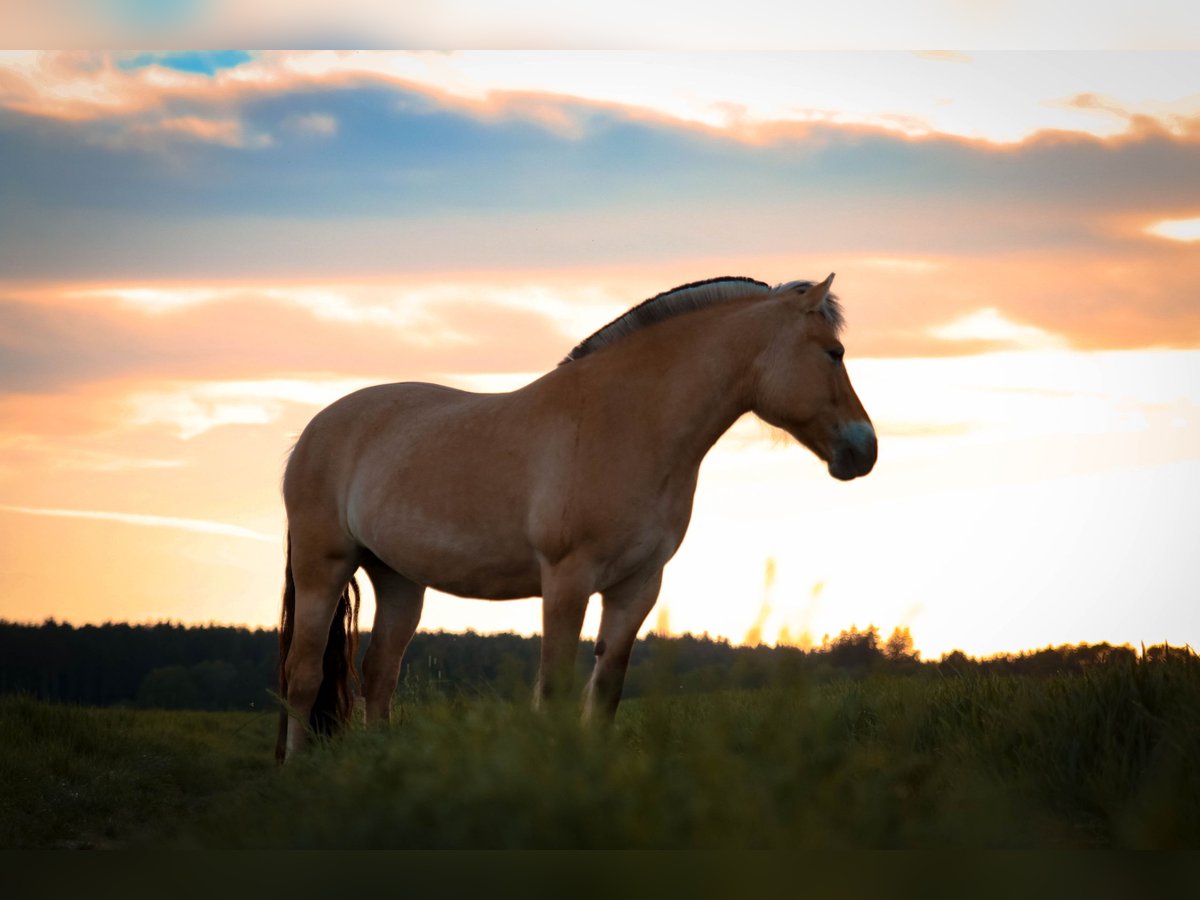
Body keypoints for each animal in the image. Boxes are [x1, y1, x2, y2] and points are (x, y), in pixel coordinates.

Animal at [276, 273, 878, 763]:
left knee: (379, 674)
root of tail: (314, 431)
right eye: (834, 352)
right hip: (322, 567)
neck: (625, 423)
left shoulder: (638, 586)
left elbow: (606, 687)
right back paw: (297, 769)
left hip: (399, 578)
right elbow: (556, 689)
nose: (864, 450)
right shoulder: (567, 581)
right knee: (304, 674)